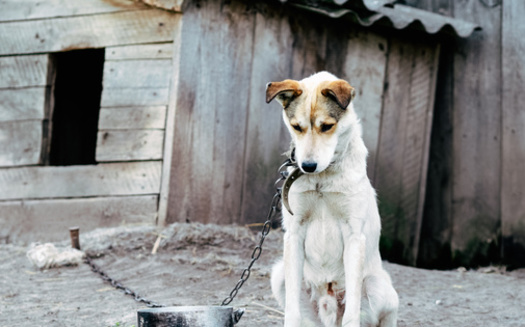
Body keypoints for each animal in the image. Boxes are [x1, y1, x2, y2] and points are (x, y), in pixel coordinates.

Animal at [266, 72, 398, 327]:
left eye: (327, 126)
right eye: (296, 127)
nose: (307, 166)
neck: (322, 179)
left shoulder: (354, 235)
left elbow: (352, 314)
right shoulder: (294, 234)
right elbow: (291, 313)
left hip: (378, 286)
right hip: (279, 275)